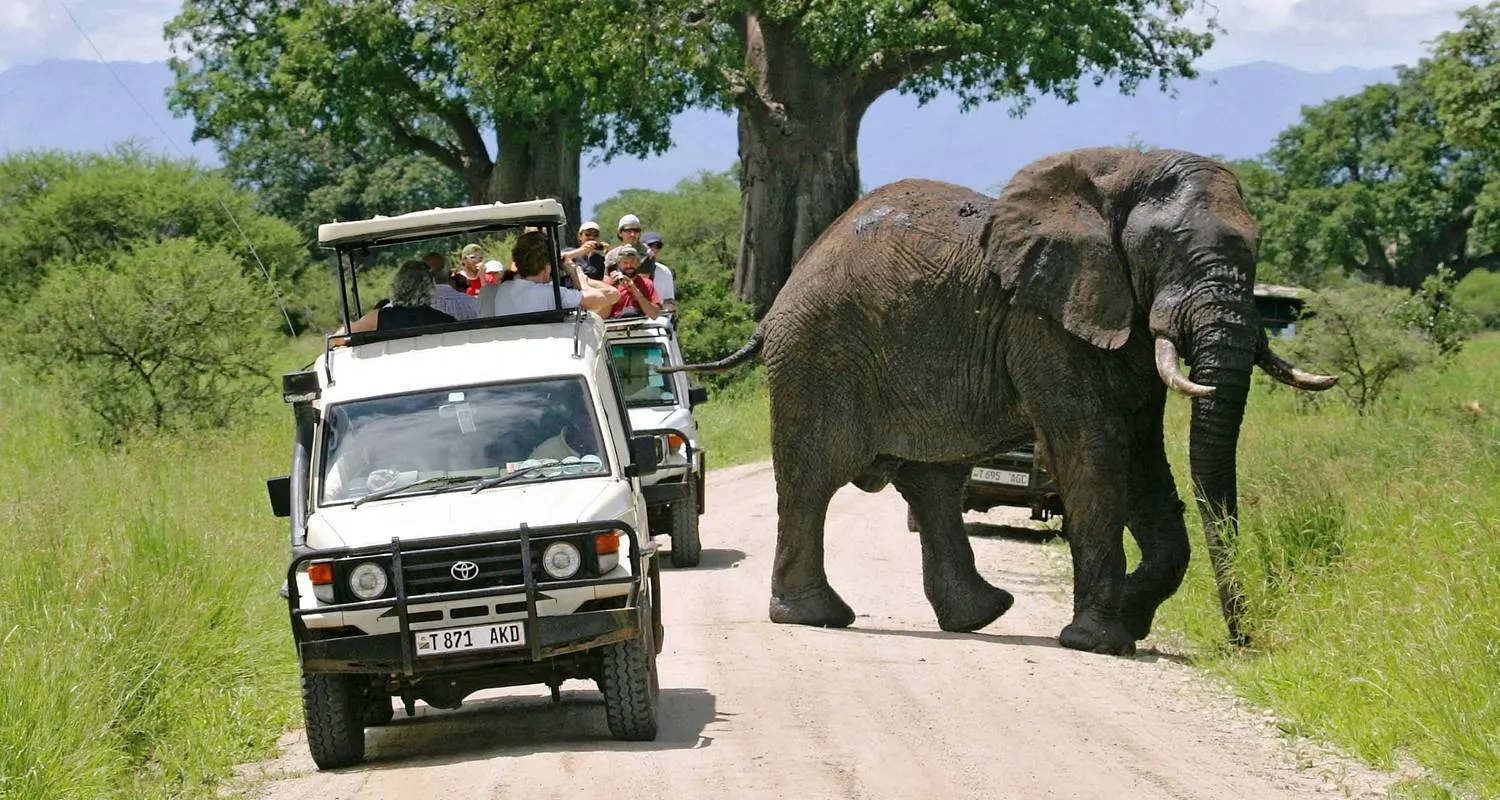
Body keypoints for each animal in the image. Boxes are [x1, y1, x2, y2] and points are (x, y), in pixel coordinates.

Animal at [661, 147, 1336, 655]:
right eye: (1165, 248)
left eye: (1257, 248)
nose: (1243, 642)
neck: (1122, 174)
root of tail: (779, 298)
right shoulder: (1041, 319)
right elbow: (1094, 450)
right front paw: (1099, 642)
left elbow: (1143, 456)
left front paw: (1132, 619)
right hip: (816, 356)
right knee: (814, 477)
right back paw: (817, 618)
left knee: (932, 483)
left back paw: (979, 616)